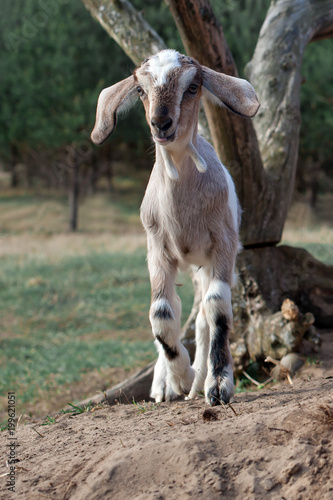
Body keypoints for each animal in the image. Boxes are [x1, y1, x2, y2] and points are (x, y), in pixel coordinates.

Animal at [91, 47, 260, 406]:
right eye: (141, 90)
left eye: (193, 87)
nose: (161, 123)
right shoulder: (157, 249)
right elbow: (161, 313)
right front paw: (179, 379)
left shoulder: (223, 244)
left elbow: (217, 308)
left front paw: (217, 384)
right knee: (181, 310)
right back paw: (165, 384)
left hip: (204, 264)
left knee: (203, 316)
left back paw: (200, 379)